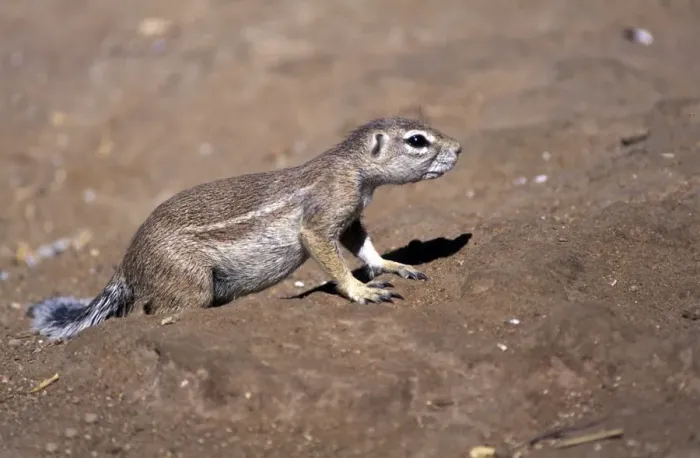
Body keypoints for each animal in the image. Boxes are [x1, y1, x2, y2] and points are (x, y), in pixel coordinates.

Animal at [27, 117, 462, 340]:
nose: (460, 148)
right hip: (190, 283)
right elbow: (330, 255)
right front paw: (359, 291)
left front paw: (391, 265)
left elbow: (364, 245)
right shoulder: (323, 217)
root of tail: (128, 262)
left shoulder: (350, 217)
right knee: (158, 310)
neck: (353, 168)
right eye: (417, 141)